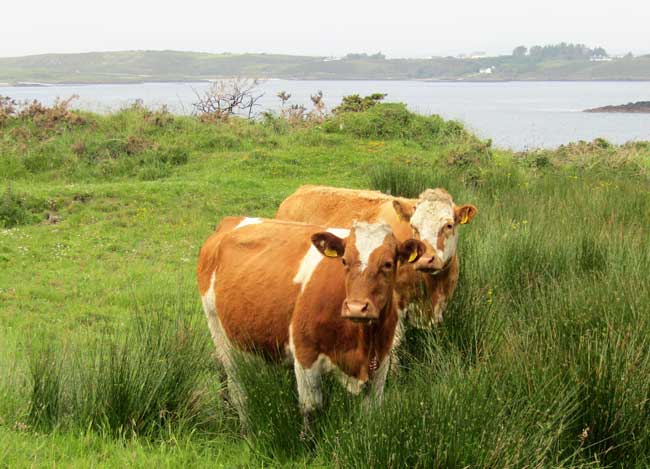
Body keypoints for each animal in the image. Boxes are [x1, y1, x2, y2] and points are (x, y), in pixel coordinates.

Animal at [195, 216, 422, 432]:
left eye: (388, 264)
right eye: (344, 261)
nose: (356, 308)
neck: (361, 343)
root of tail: (230, 221)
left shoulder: (382, 360)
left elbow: (370, 415)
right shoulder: (305, 355)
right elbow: (310, 413)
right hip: (220, 334)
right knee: (238, 388)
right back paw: (245, 430)